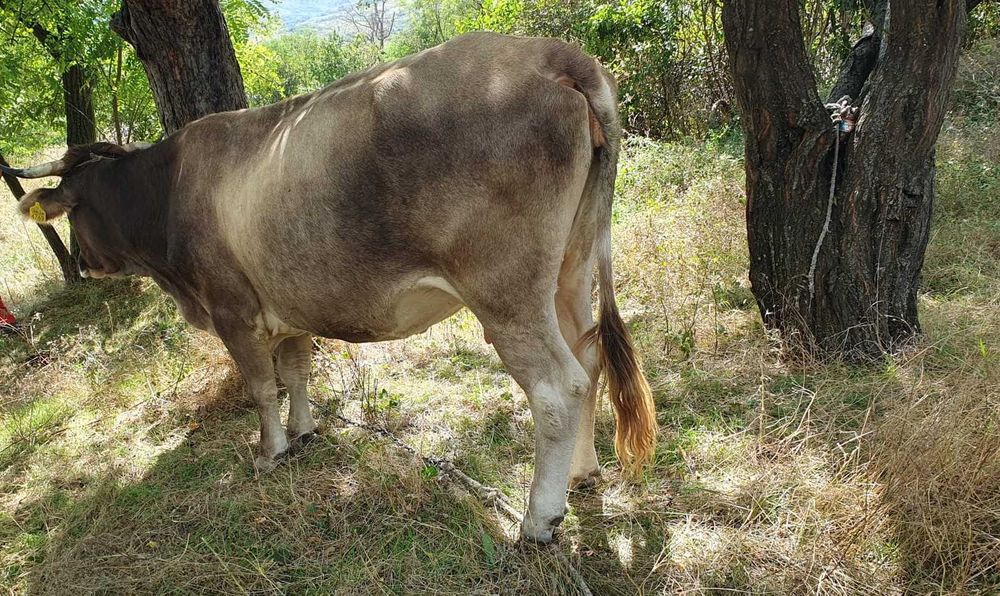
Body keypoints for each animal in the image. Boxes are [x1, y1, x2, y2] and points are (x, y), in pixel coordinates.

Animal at [5, 32, 657, 543]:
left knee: (557, 386)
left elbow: (260, 386)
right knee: (590, 357)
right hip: (570, 268)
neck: (170, 191)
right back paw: (582, 473)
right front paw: (303, 432)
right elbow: (295, 373)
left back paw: (539, 518)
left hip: (505, 289)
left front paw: (270, 452)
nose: (83, 262)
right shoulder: (288, 308)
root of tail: (553, 54)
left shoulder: (232, 308)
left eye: (74, 209)